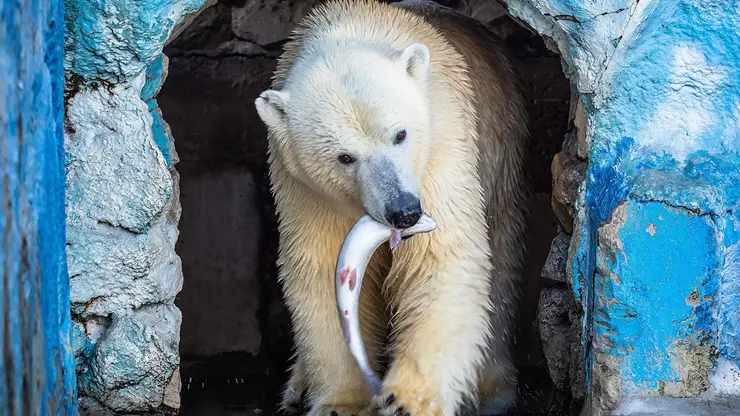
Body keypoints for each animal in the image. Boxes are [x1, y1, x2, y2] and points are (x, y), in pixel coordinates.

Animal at [256, 0, 532, 416]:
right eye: (345, 157)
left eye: (400, 134)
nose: (404, 211)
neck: (354, 26)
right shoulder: (305, 185)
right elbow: (320, 269)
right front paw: (339, 402)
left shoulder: (441, 146)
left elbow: (440, 259)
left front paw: (405, 401)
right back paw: (296, 389)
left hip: (501, 153)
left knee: (499, 266)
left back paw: (491, 390)